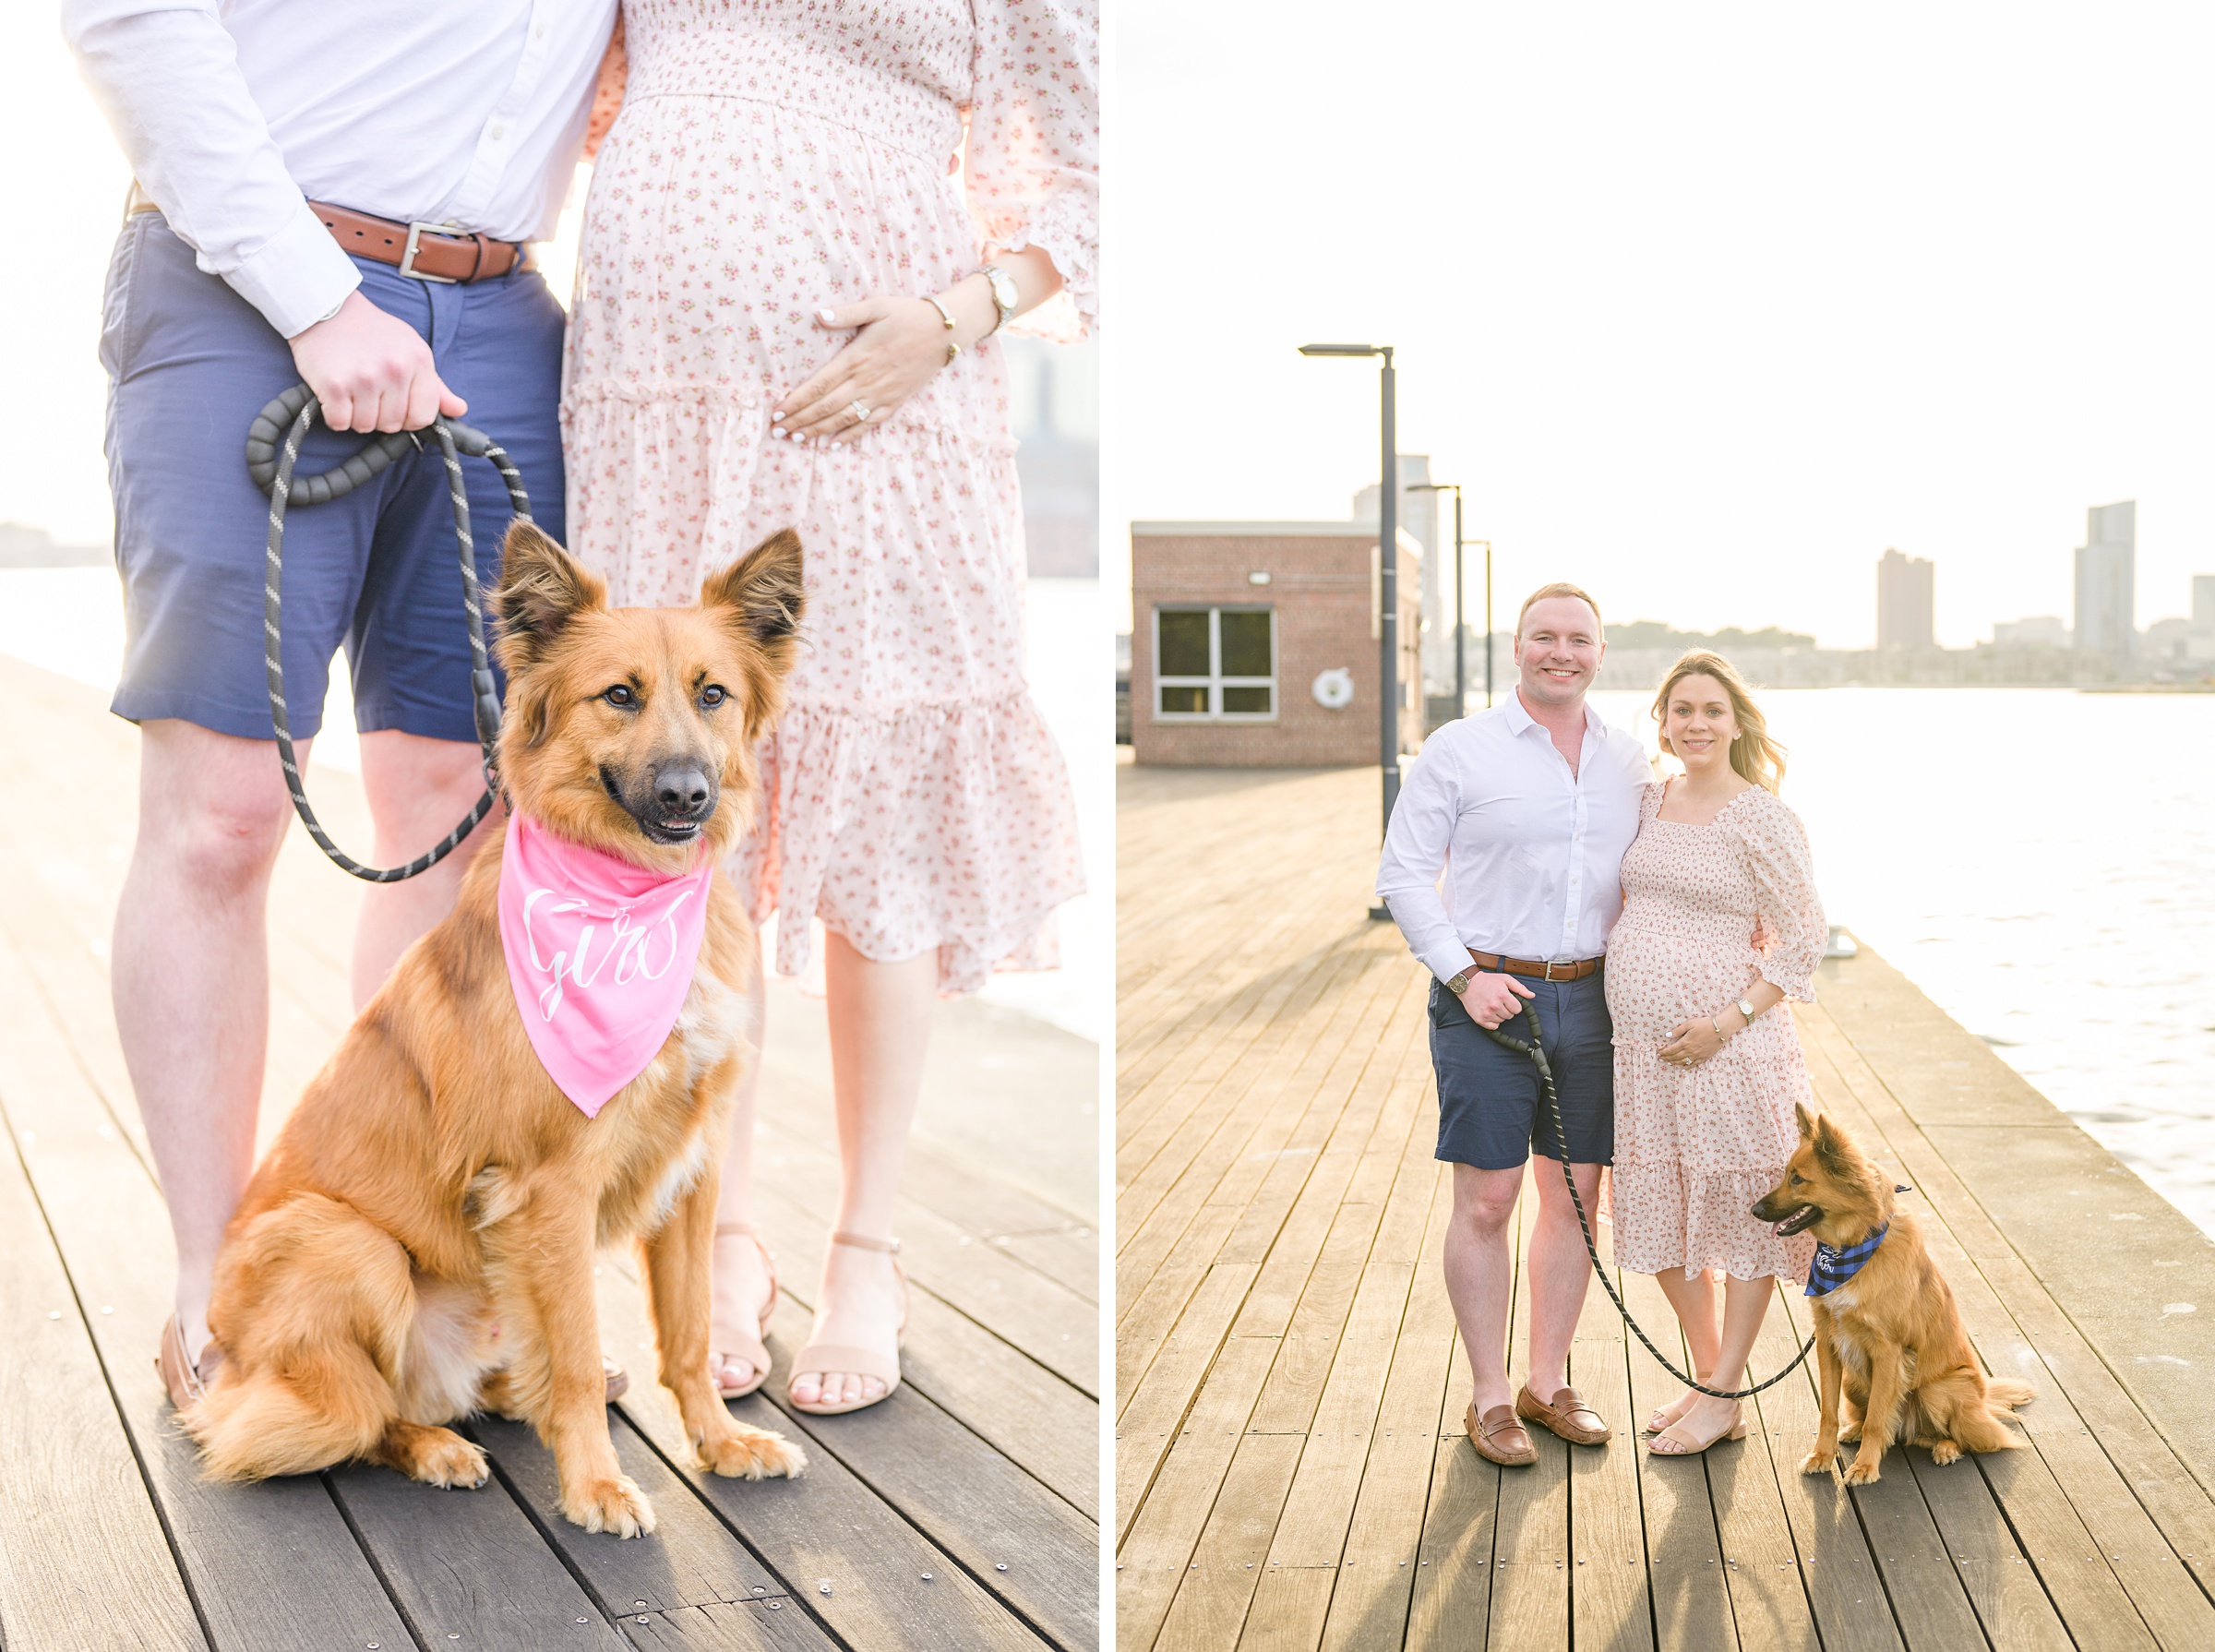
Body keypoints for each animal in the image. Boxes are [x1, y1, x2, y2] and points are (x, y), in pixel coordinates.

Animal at [181, 518, 806, 1532]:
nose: (686, 795)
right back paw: (433, 1443)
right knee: (365, 1408)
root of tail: (229, 1359)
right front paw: (596, 1485)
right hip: (351, 1245)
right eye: (619, 695)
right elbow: (580, 1360)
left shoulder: (693, 1166)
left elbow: (690, 1330)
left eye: (713, 694)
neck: (632, 904)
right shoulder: (551, 1186)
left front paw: (721, 1441)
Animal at [1754, 1098, 2029, 1488]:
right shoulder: (1827, 1341)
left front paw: (1866, 1467)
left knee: (1963, 1435)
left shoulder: (1888, 1351)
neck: (1851, 1247)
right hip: (1855, 1381)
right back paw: (1856, 1430)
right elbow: (1828, 1412)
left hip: (1937, 1389)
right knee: (1898, 1429)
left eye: (1798, 1179)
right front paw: (1822, 1456)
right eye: (1785, 1174)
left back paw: (1947, 1448)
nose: (1754, 1210)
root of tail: (1984, 1399)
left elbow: (1877, 1419)